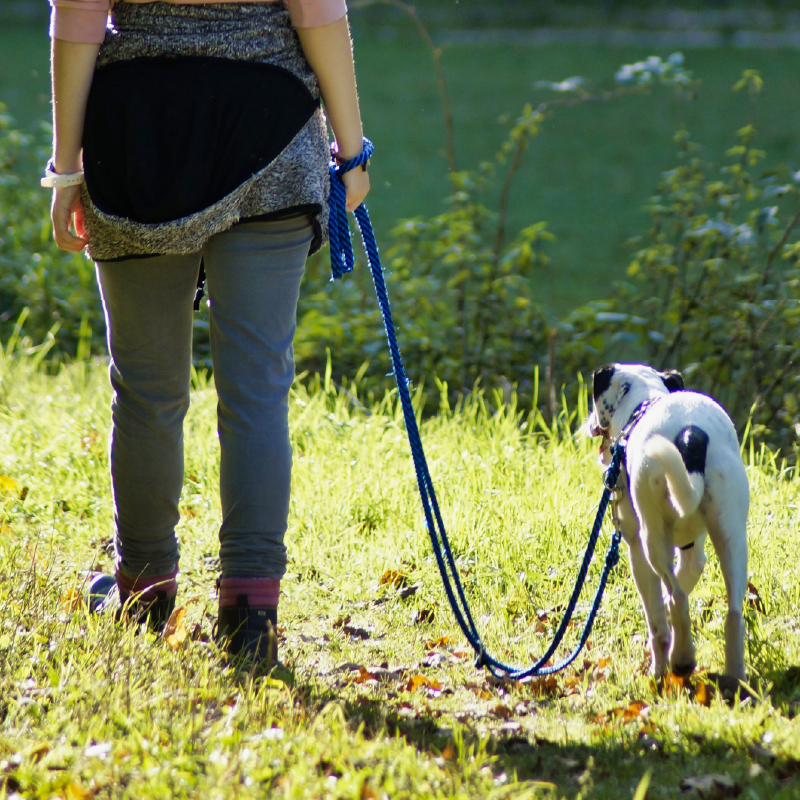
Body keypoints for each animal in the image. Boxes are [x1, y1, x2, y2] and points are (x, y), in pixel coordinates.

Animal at [588, 362, 752, 680]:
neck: (642, 400)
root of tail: (691, 434)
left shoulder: (637, 553)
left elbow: (658, 620)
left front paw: (658, 668)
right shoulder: (693, 553)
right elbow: (681, 583)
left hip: (654, 542)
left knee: (677, 598)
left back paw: (680, 660)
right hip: (732, 538)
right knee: (733, 613)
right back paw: (734, 678)